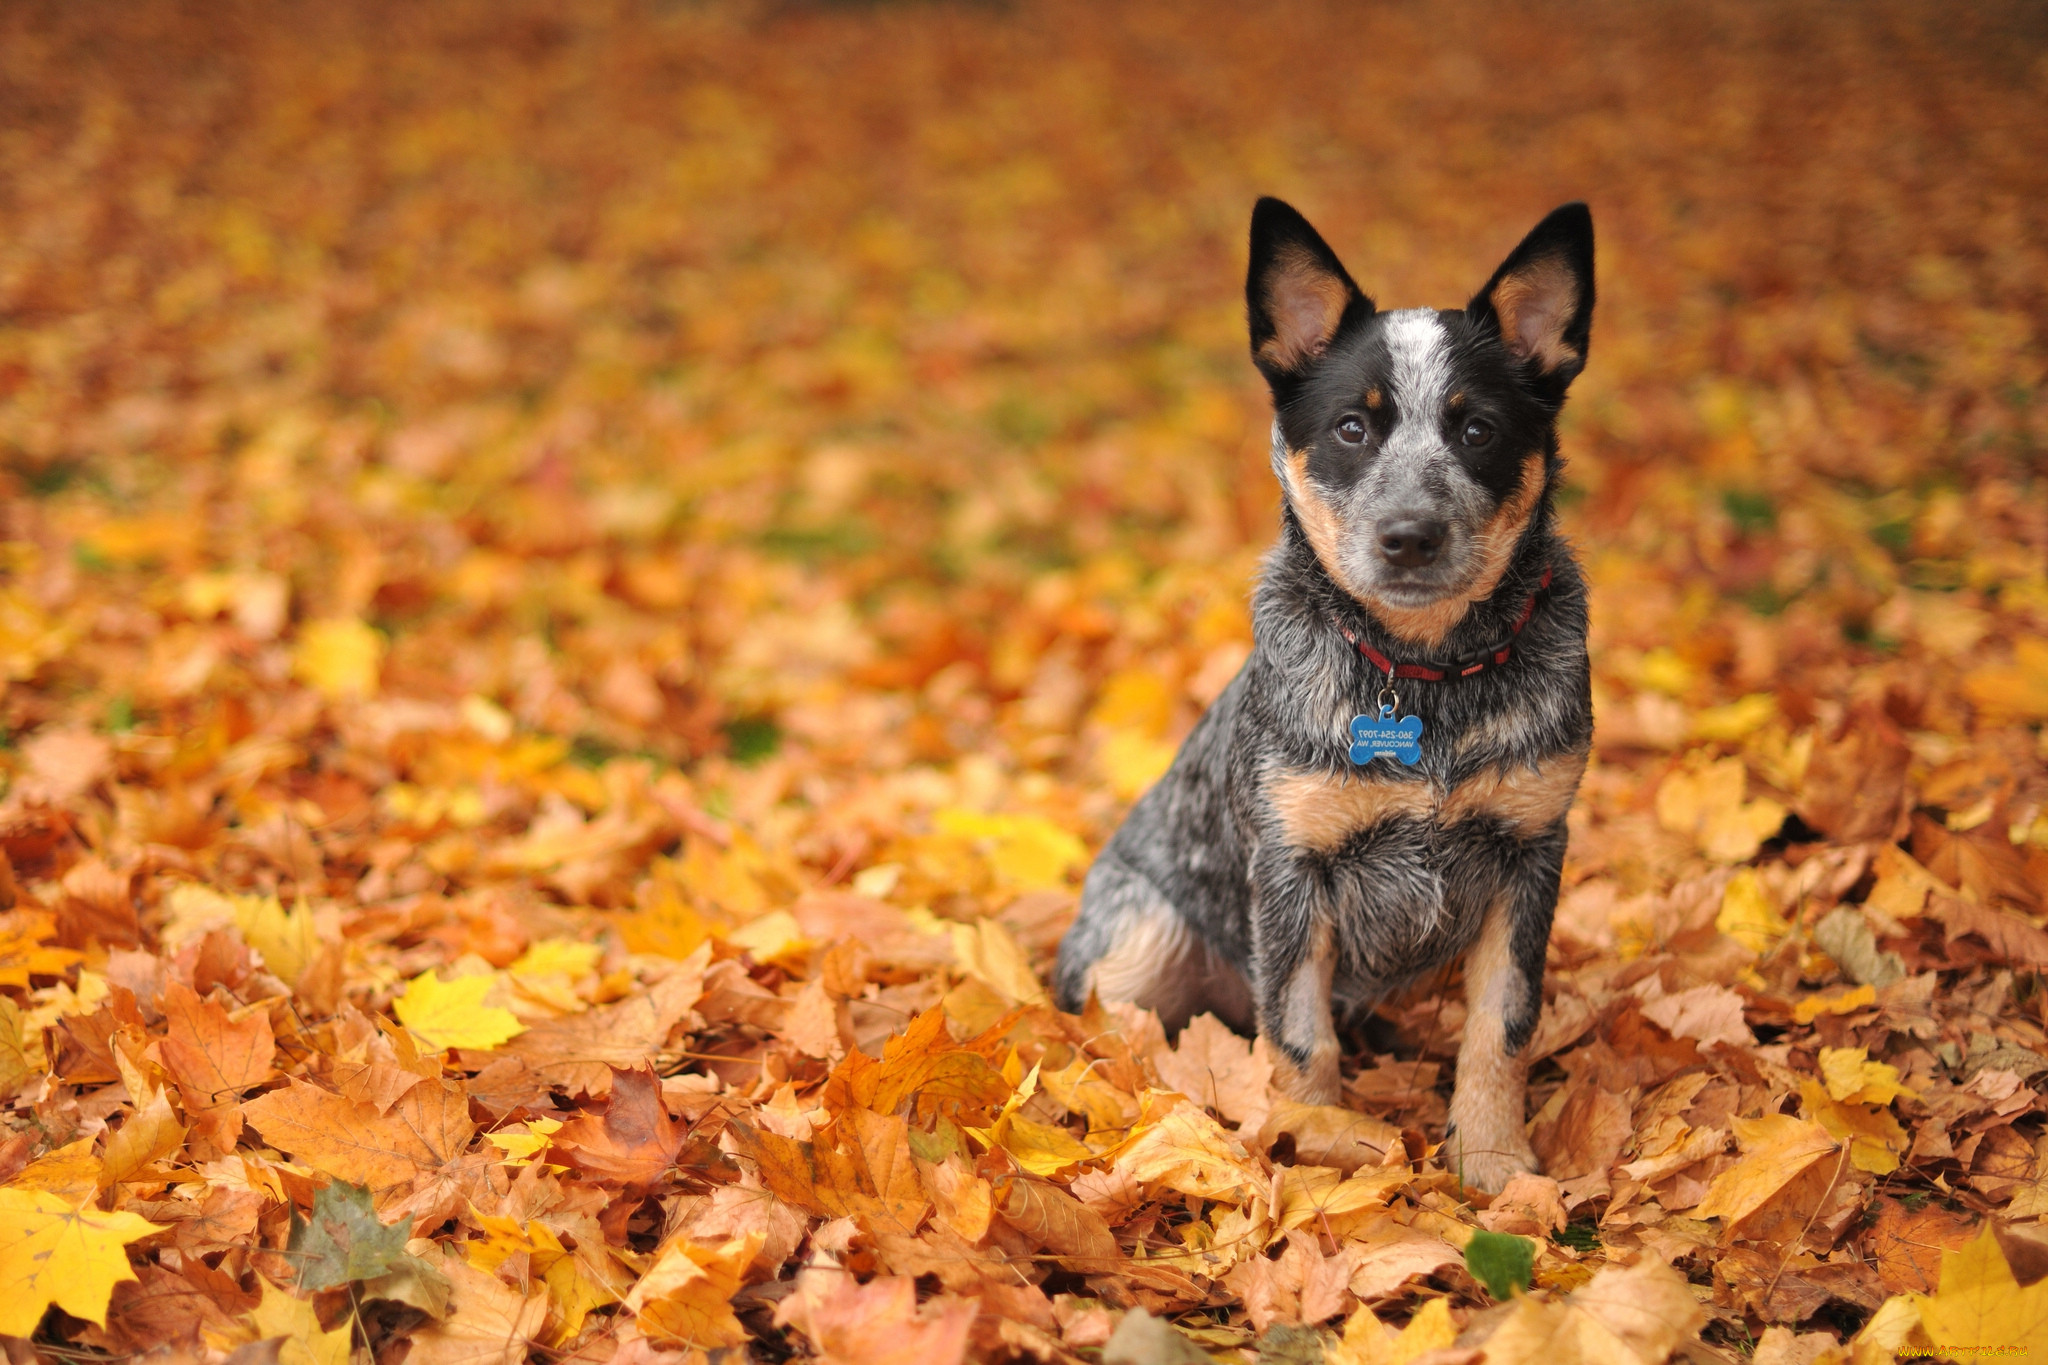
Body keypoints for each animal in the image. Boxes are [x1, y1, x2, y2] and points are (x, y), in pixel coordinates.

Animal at [1056, 197, 1597, 1186]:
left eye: (1477, 429)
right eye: (1353, 426)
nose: (1411, 534)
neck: (1424, 677)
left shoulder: (1532, 851)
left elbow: (1502, 1026)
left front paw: (1496, 1163)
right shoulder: (1290, 868)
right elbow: (1298, 1038)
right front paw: (1321, 1154)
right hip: (1135, 939)